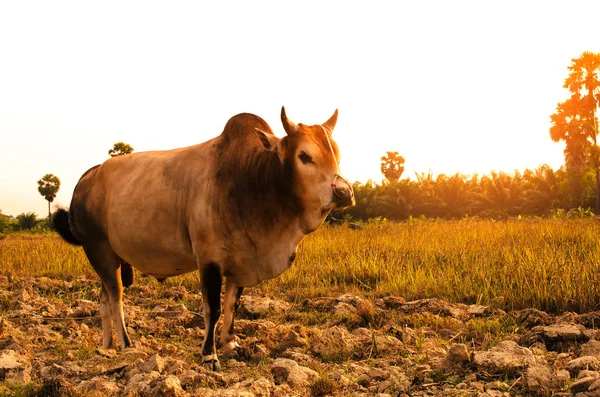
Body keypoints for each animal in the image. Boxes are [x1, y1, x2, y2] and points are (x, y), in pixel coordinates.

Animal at [54, 106, 354, 370]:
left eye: (337, 153)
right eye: (304, 156)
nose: (343, 193)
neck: (252, 180)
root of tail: (89, 176)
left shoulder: (241, 260)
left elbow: (232, 304)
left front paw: (231, 345)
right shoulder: (210, 259)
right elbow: (213, 309)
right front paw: (210, 356)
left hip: (109, 258)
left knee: (104, 298)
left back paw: (106, 346)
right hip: (99, 250)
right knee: (116, 299)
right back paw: (127, 345)